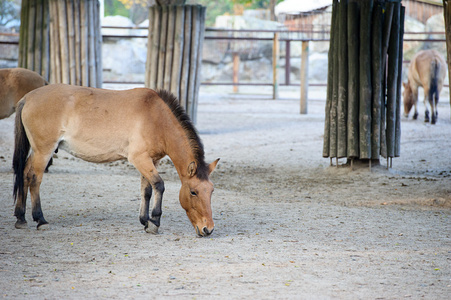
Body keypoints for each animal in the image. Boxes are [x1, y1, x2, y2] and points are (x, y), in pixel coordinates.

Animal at [12, 84, 221, 237]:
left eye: (211, 191)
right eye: (193, 192)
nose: (208, 229)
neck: (156, 118)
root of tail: (27, 98)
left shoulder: (150, 160)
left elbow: (146, 190)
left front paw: (144, 221)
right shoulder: (139, 159)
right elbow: (159, 185)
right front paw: (154, 222)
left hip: (37, 152)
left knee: (24, 174)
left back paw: (21, 218)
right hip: (43, 151)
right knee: (35, 179)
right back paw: (40, 220)